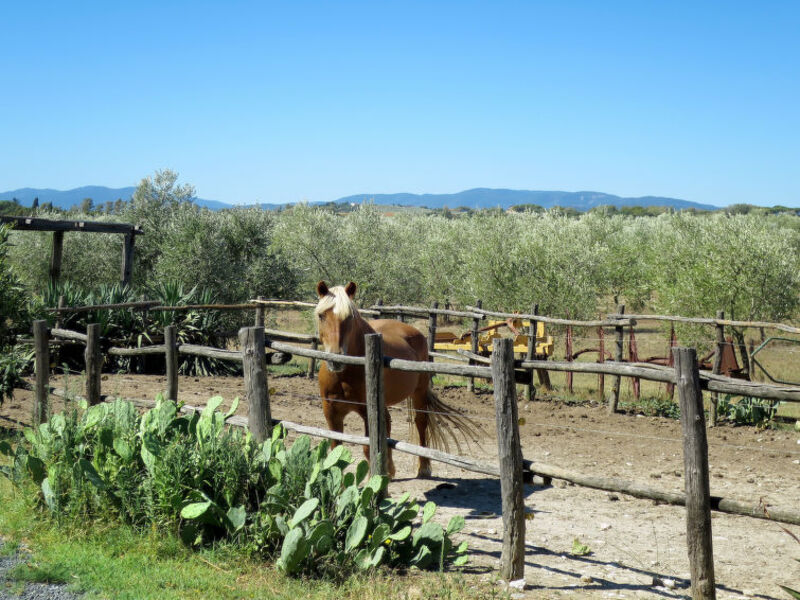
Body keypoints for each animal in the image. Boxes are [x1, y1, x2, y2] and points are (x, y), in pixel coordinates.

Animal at [314, 282, 478, 478]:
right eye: (321, 315)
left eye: (350, 317)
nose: (336, 359)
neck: (344, 376)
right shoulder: (331, 413)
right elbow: (336, 450)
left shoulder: (369, 411)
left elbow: (369, 448)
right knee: (389, 424)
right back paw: (391, 469)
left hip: (419, 392)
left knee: (420, 422)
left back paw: (423, 467)